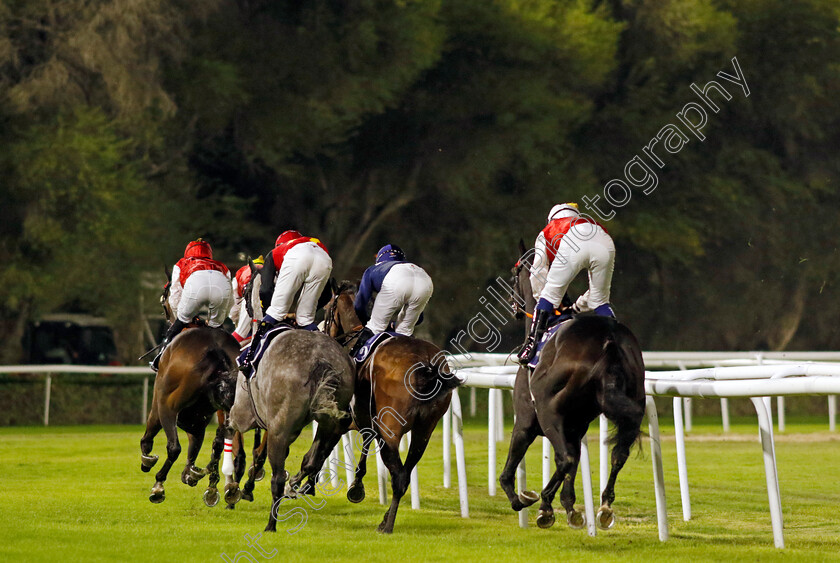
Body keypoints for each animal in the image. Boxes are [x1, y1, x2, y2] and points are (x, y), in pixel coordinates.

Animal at [139, 276, 244, 506]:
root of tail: (216, 350)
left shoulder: (160, 403)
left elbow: (150, 438)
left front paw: (147, 460)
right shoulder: (199, 417)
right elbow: (205, 444)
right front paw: (195, 474)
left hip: (168, 404)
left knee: (174, 447)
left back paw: (159, 486)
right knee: (224, 441)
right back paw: (220, 486)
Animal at [226, 264, 354, 532]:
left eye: (245, 290)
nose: (237, 310)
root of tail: (320, 360)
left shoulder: (242, 414)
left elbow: (235, 438)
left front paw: (231, 488)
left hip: (280, 429)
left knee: (277, 477)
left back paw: (271, 524)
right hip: (331, 423)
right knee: (312, 460)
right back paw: (293, 487)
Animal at [324, 284, 460, 536]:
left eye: (327, 308)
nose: (323, 331)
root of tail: (428, 365)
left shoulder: (352, 420)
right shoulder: (369, 421)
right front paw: (356, 487)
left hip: (392, 430)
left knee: (397, 474)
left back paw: (387, 525)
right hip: (424, 431)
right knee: (405, 474)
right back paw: (386, 519)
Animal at [496, 243, 648, 532]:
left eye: (512, 273)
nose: (512, 305)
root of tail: (609, 340)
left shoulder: (525, 421)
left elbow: (512, 470)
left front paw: (525, 500)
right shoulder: (577, 426)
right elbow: (575, 462)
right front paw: (569, 507)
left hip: (548, 411)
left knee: (565, 457)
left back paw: (544, 500)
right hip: (634, 400)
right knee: (618, 454)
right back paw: (604, 506)